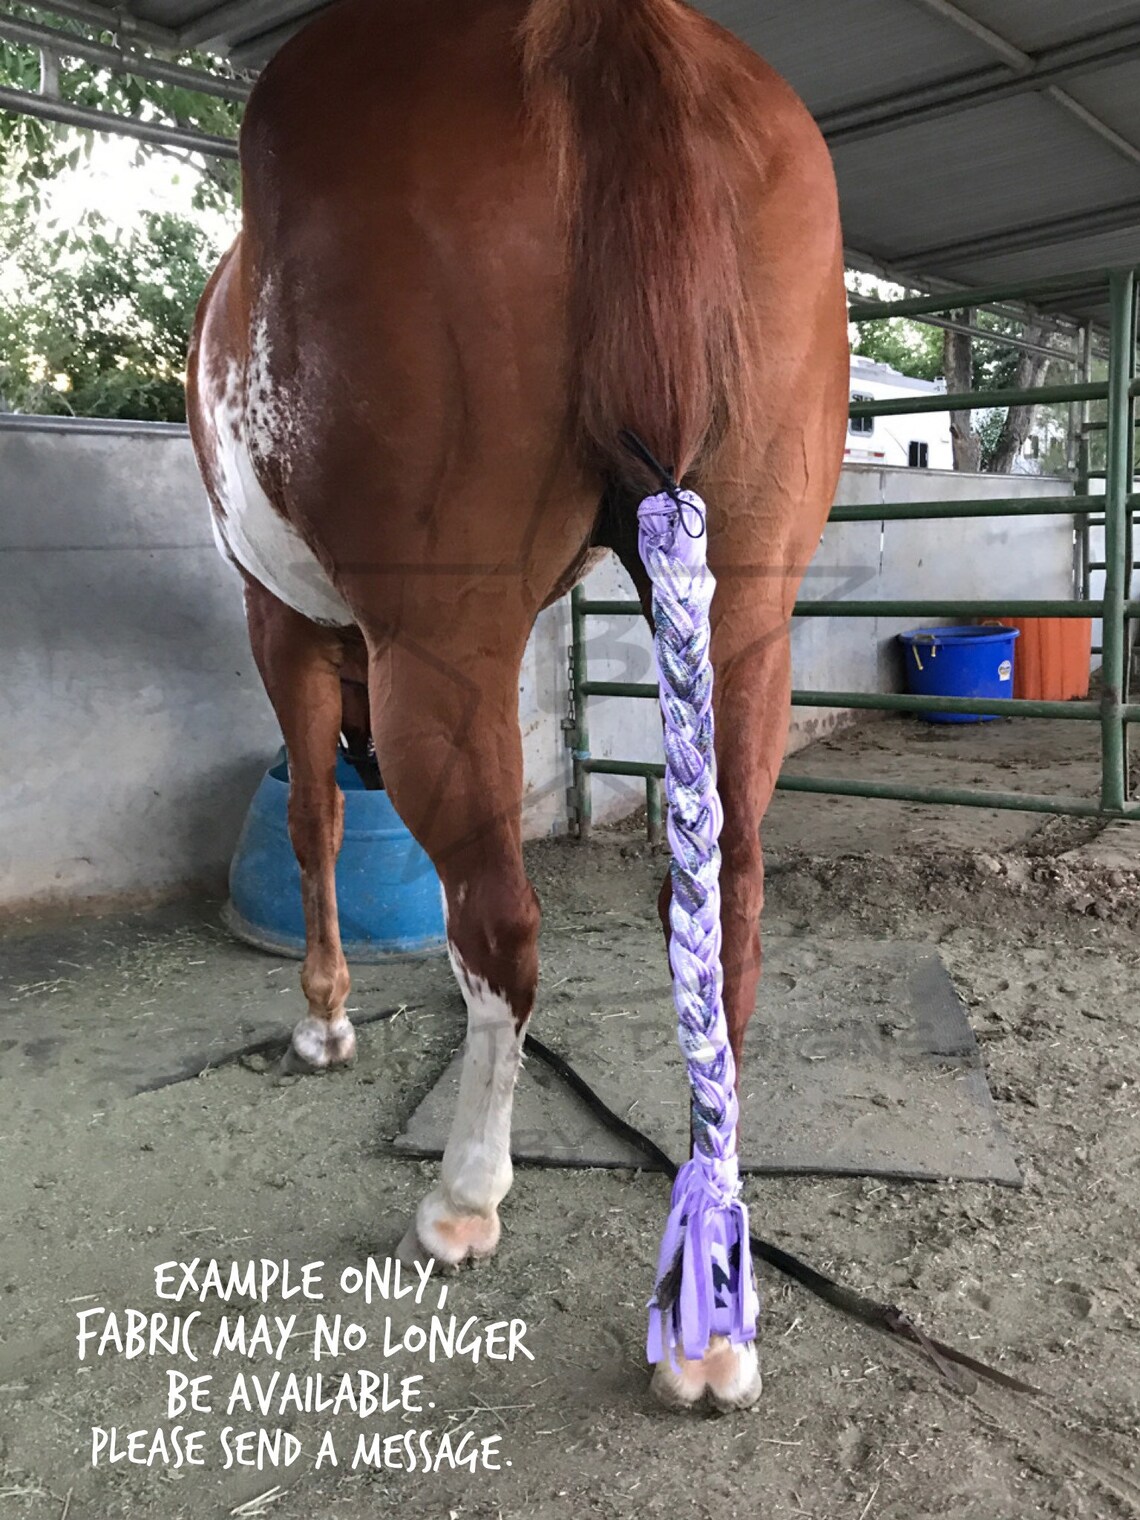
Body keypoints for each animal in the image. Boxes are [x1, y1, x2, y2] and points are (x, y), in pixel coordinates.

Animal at [186, 0, 849, 1411]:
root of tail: (605, 30)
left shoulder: (285, 621)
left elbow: (316, 822)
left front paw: (325, 1017)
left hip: (444, 645)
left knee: (500, 924)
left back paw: (463, 1199)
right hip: (748, 614)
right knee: (729, 920)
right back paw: (713, 1307)